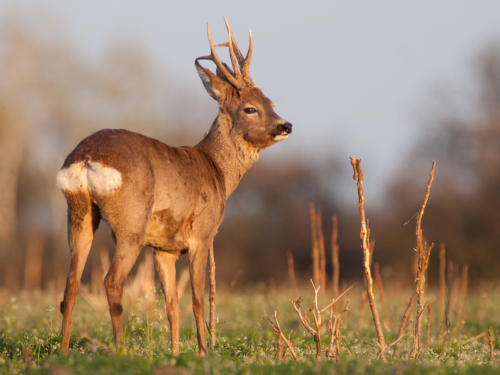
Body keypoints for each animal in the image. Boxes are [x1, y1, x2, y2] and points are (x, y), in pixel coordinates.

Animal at [56, 17, 292, 356]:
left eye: (271, 102)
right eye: (250, 108)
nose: (286, 125)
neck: (216, 171)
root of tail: (86, 156)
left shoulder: (163, 248)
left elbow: (171, 306)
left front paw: (177, 353)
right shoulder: (203, 234)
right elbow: (196, 300)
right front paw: (204, 352)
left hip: (78, 213)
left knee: (70, 285)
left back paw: (63, 351)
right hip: (131, 222)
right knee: (112, 282)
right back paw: (121, 352)